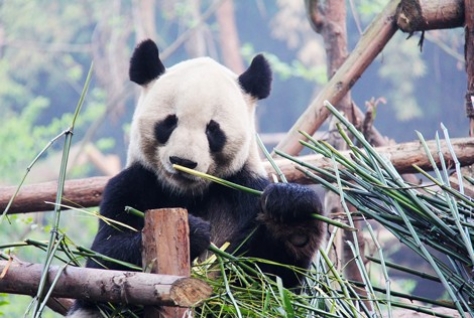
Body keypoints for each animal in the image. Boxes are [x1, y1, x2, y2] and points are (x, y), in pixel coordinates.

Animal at [67, 39, 326, 318]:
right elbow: (102, 260)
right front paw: (194, 232)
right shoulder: (131, 185)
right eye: (169, 122)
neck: (187, 193)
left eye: (212, 129)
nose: (183, 161)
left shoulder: (245, 189)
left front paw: (291, 214)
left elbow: (265, 282)